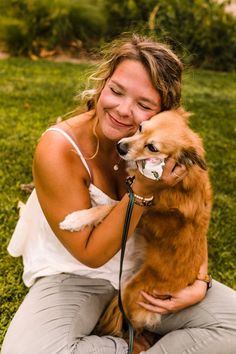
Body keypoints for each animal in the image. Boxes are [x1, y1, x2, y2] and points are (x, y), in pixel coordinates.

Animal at [60, 108, 213, 340]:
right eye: (141, 127)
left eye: (152, 147)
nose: (120, 147)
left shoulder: (144, 213)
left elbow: (109, 206)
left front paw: (77, 219)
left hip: (131, 290)